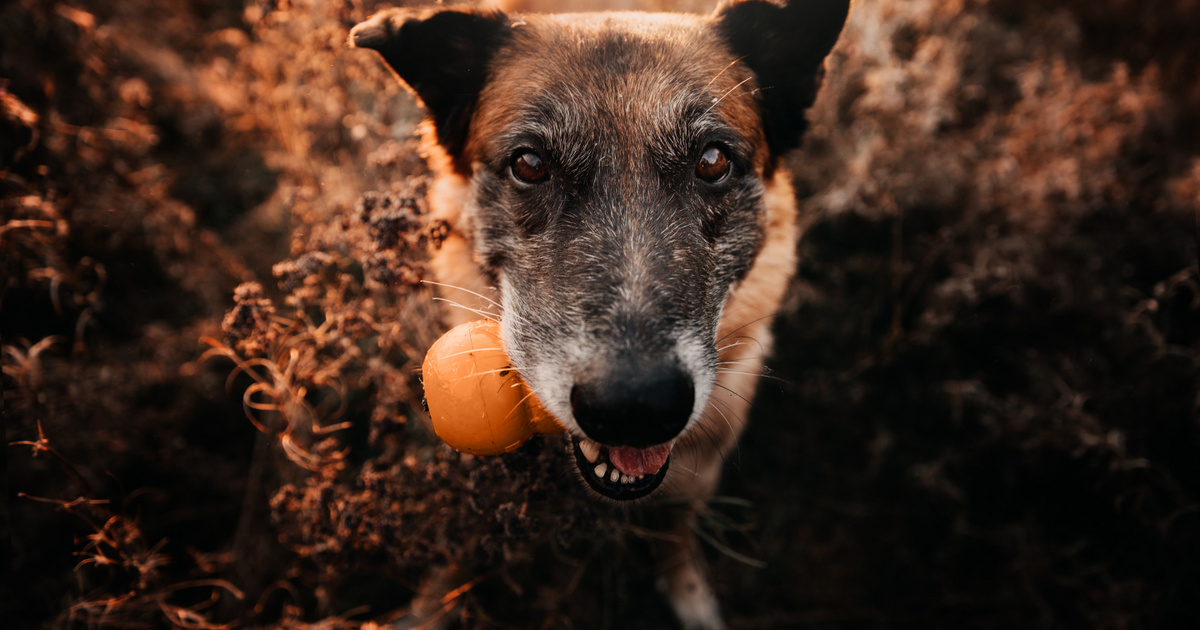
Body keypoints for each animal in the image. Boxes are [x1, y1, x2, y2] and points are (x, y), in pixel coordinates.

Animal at [350, 1, 849, 624]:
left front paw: (691, 600)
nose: (635, 408)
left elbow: (676, 538)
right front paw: (426, 608)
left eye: (713, 161)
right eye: (529, 164)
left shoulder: (698, 468)